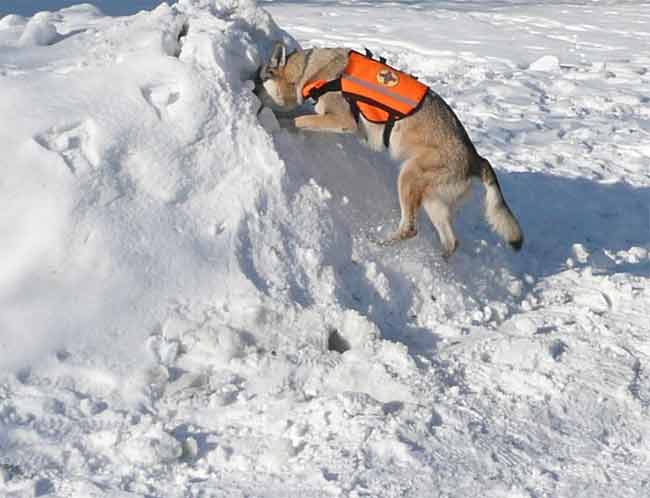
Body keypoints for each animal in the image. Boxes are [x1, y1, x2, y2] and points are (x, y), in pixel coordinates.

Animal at [253, 42, 520, 256]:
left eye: (258, 82)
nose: (251, 92)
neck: (311, 71)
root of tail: (478, 158)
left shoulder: (343, 121)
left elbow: (297, 120)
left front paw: (270, 120)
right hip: (432, 201)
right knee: (451, 242)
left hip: (408, 177)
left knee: (410, 229)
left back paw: (377, 244)